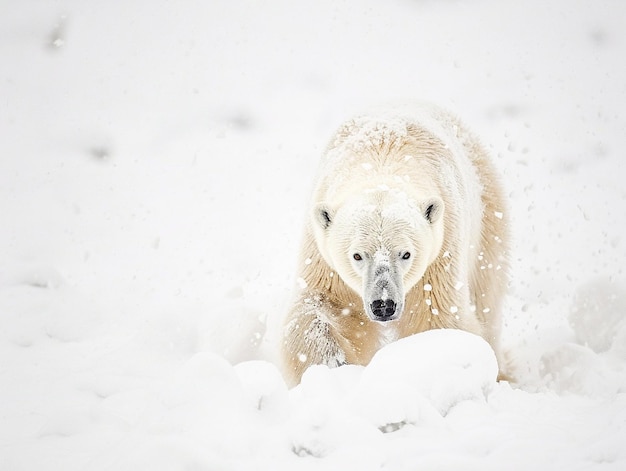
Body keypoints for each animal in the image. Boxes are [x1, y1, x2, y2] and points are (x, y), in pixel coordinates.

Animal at [282, 104, 508, 388]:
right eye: (357, 255)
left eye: (406, 254)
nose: (383, 304)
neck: (383, 155)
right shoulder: (322, 251)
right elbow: (324, 305)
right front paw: (334, 366)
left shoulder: (440, 253)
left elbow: (434, 316)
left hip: (487, 217)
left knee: (487, 295)